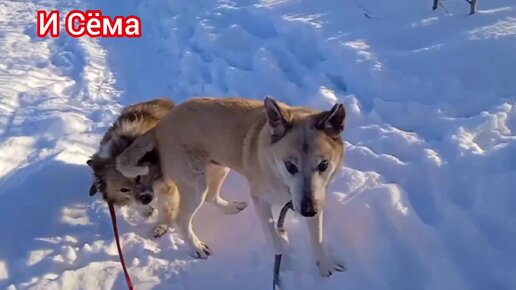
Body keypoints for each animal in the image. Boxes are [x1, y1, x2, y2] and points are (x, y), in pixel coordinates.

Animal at [115, 96, 344, 276]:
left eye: (323, 165)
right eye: (290, 166)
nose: (308, 210)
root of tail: (160, 126)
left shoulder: (315, 197)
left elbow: (318, 237)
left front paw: (325, 264)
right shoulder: (261, 200)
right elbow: (274, 236)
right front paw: (283, 250)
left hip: (219, 167)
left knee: (211, 196)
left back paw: (230, 207)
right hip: (196, 183)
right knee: (182, 219)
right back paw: (196, 246)